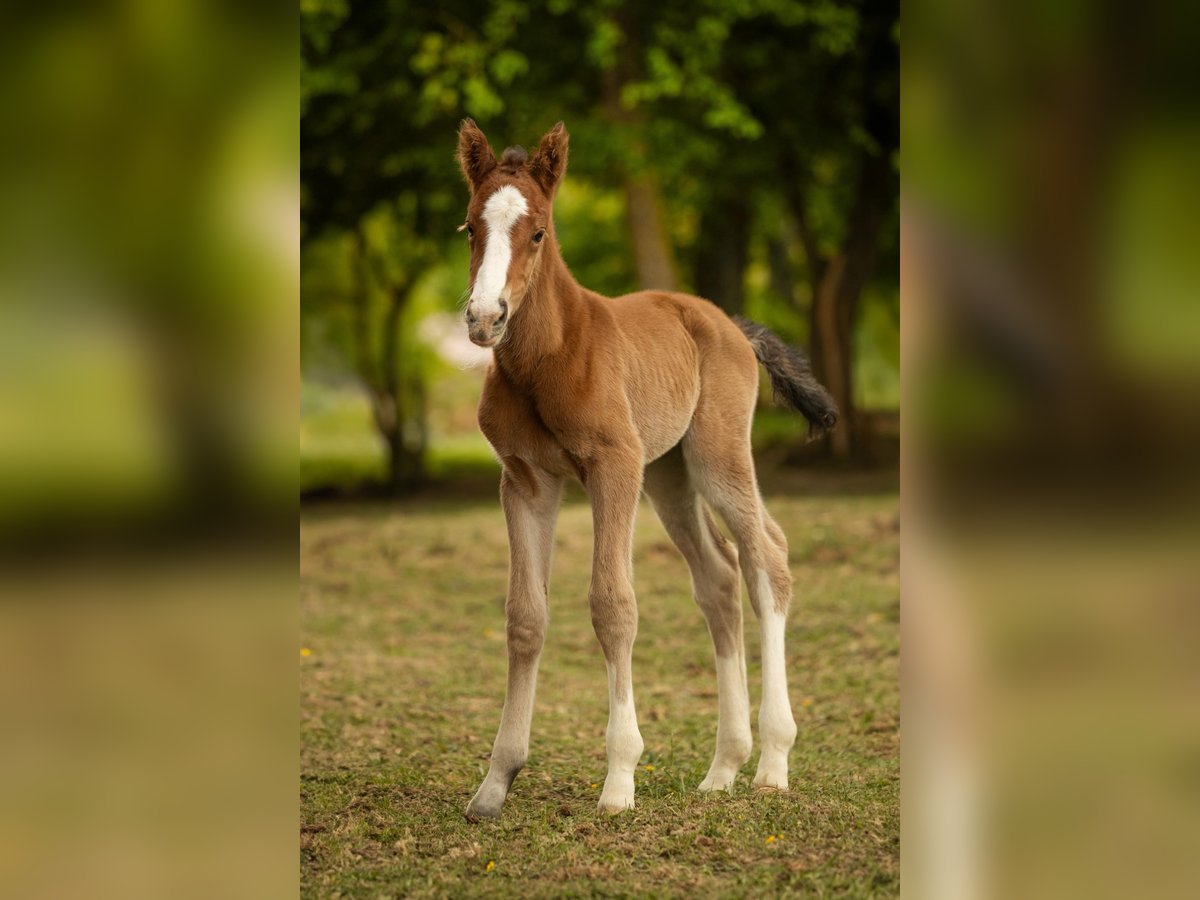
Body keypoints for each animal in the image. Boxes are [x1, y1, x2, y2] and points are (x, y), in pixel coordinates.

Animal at [453, 121, 840, 825]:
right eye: (470, 227)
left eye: (539, 231)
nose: (485, 317)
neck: (548, 356)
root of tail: (728, 323)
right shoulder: (525, 481)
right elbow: (525, 616)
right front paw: (495, 783)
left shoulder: (614, 466)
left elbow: (612, 604)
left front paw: (619, 780)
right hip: (669, 474)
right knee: (718, 576)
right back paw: (723, 769)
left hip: (715, 456)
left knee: (766, 555)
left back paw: (772, 763)